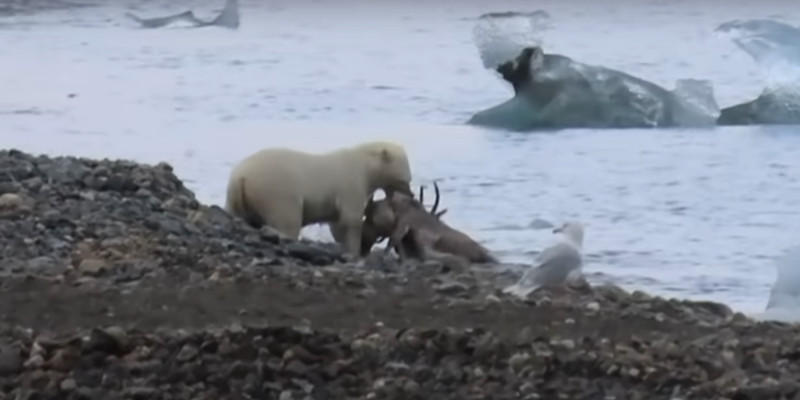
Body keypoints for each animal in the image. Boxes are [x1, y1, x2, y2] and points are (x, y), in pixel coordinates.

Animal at [223, 142, 412, 256]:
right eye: (405, 180)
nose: (411, 194)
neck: (365, 165)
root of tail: (242, 177)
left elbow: (336, 223)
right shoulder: (351, 183)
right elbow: (350, 220)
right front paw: (355, 249)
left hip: (234, 196)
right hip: (277, 192)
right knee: (287, 221)